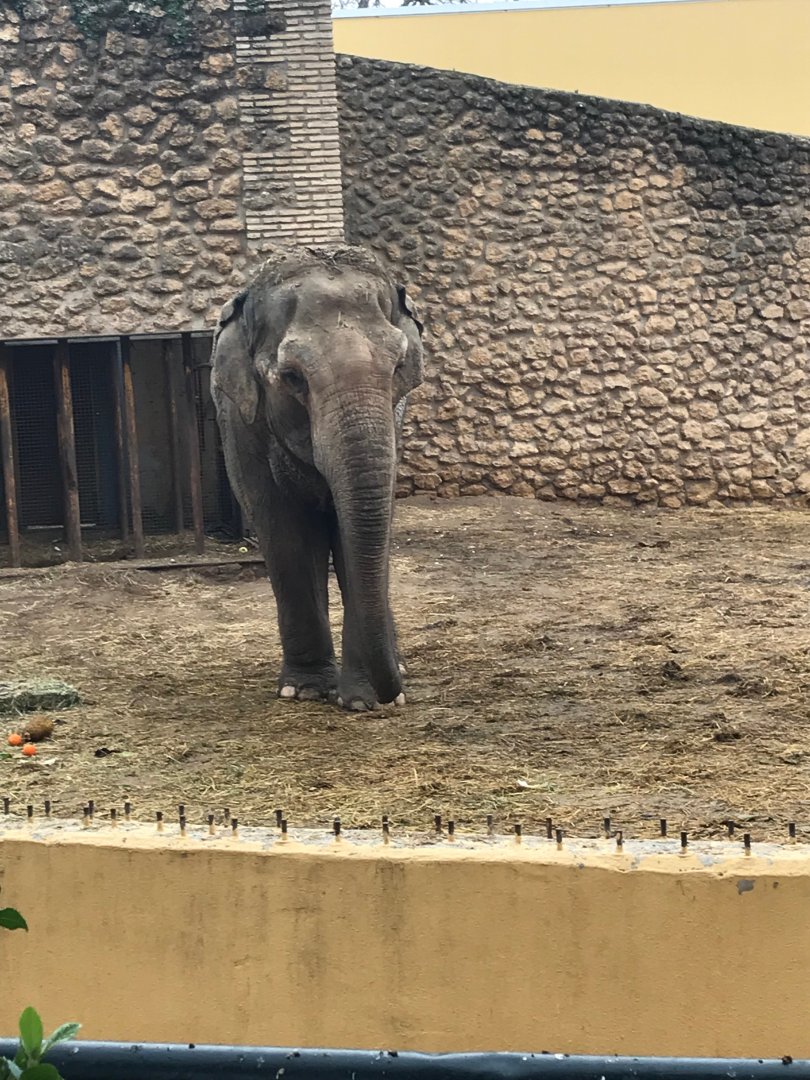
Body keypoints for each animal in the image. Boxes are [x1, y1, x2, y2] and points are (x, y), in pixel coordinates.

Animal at [210, 244, 424, 712]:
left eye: (399, 367)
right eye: (292, 378)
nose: (393, 695)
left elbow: (356, 533)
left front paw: (362, 700)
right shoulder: (241, 425)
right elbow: (282, 530)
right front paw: (305, 690)